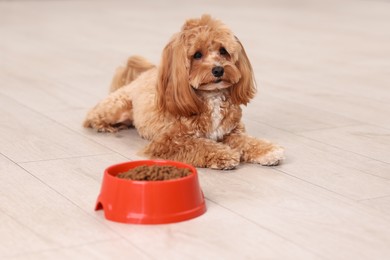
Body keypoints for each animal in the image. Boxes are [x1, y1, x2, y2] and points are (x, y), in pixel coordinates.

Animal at [83, 14, 284, 170]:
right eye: (197, 55)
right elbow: (200, 145)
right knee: (91, 116)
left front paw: (267, 150)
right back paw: (105, 126)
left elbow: (248, 141)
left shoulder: (231, 132)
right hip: (117, 107)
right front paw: (224, 154)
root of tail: (142, 75)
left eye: (223, 51)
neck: (211, 96)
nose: (218, 70)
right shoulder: (167, 142)